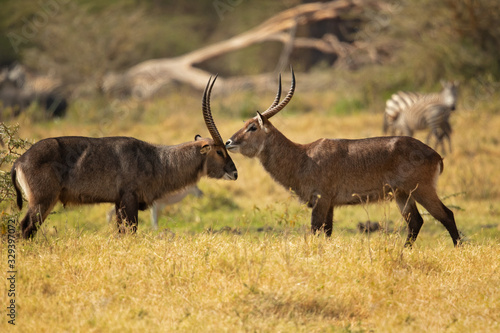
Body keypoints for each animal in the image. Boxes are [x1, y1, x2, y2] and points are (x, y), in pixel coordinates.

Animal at [11, 75, 238, 237]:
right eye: (219, 151)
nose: (235, 173)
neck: (157, 160)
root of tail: (20, 161)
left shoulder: (118, 202)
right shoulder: (129, 199)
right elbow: (130, 232)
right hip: (42, 202)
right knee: (25, 229)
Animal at [227, 69, 460, 246]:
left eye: (252, 127)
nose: (229, 142)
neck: (302, 157)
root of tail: (436, 154)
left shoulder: (320, 200)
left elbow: (315, 231)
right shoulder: (329, 203)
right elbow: (327, 233)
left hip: (422, 190)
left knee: (446, 215)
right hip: (402, 195)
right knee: (415, 223)